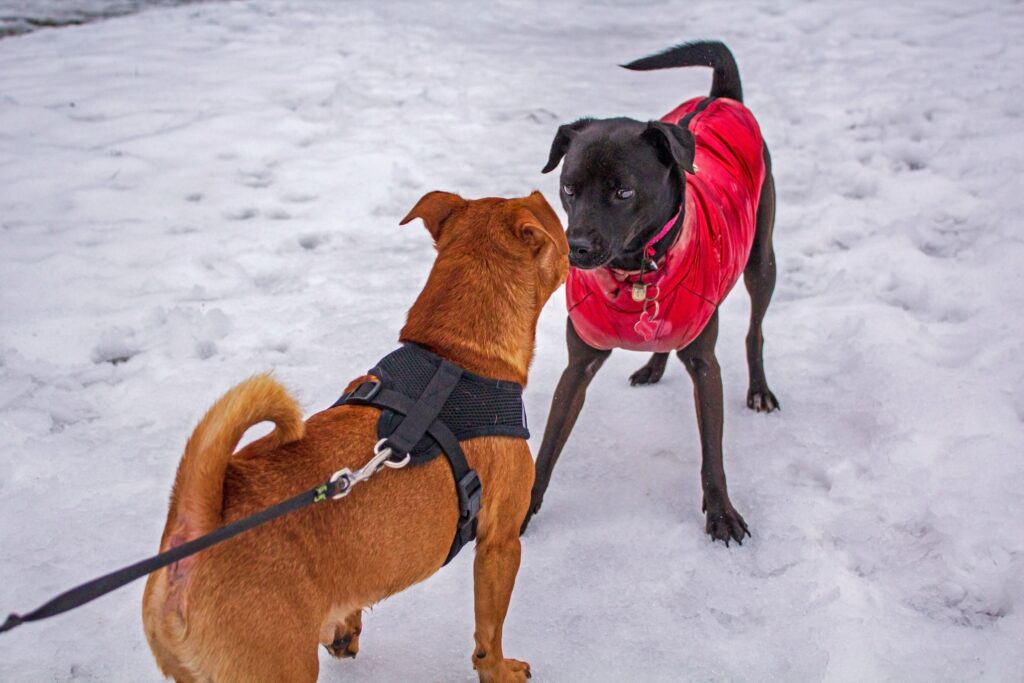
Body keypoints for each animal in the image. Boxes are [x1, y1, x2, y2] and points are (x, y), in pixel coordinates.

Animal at [142, 191, 569, 683]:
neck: (456, 354)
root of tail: (198, 520)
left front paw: (345, 628)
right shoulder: (500, 545)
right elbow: (489, 630)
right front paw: (498, 669)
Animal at [524, 41, 778, 544]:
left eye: (623, 191)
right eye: (568, 188)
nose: (575, 249)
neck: (636, 275)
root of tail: (720, 99)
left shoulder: (705, 364)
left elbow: (713, 453)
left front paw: (722, 513)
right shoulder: (578, 365)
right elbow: (549, 445)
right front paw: (520, 513)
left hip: (762, 260)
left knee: (755, 330)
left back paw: (759, 390)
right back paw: (653, 365)